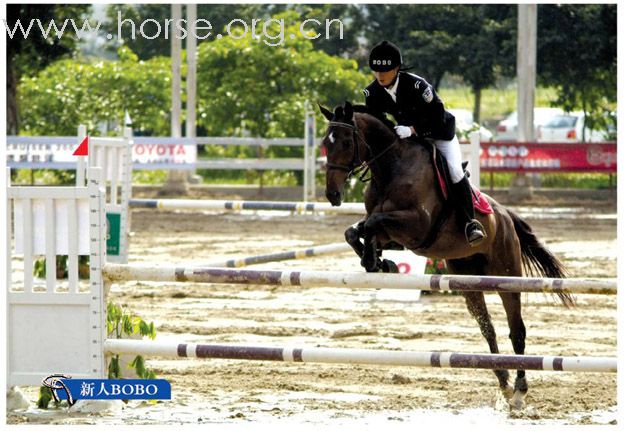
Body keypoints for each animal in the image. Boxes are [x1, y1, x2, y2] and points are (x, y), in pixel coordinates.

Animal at [320, 101, 572, 412]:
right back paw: (503, 381)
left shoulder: (417, 224)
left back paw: (519, 392)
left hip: (507, 277)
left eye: (345, 142)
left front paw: (375, 261)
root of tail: (505, 216)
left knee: (517, 332)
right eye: (325, 143)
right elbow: (356, 231)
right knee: (488, 329)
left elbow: (371, 223)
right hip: (468, 281)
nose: (332, 195)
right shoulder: (393, 232)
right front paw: (379, 262)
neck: (390, 168)